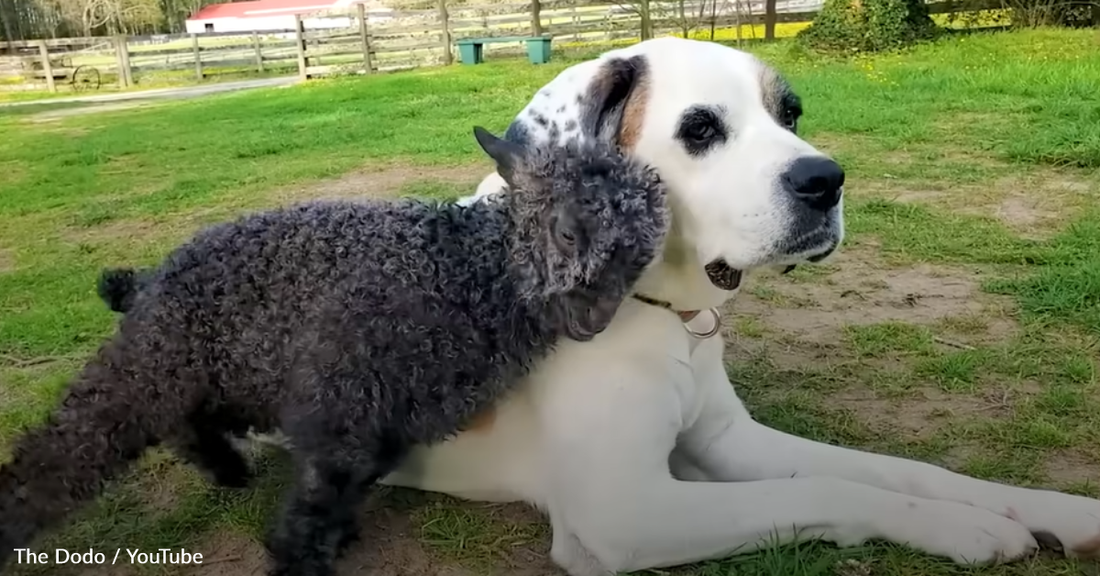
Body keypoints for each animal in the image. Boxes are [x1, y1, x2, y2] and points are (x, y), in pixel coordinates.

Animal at [0, 129, 668, 576]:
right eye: (567, 232)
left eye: (639, 255)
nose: (593, 318)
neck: (458, 271)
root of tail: (149, 279)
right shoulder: (340, 398)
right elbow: (323, 489)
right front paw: (300, 561)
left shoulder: (385, 414)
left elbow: (351, 483)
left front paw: (337, 538)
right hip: (153, 358)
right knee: (71, 446)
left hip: (219, 369)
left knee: (190, 421)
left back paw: (226, 466)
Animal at [371, 38, 1100, 571]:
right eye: (700, 129)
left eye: (791, 114)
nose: (826, 179)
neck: (665, 313)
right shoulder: (623, 512)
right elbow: (827, 488)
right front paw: (962, 526)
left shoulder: (727, 440)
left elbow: (898, 469)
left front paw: (1044, 509)